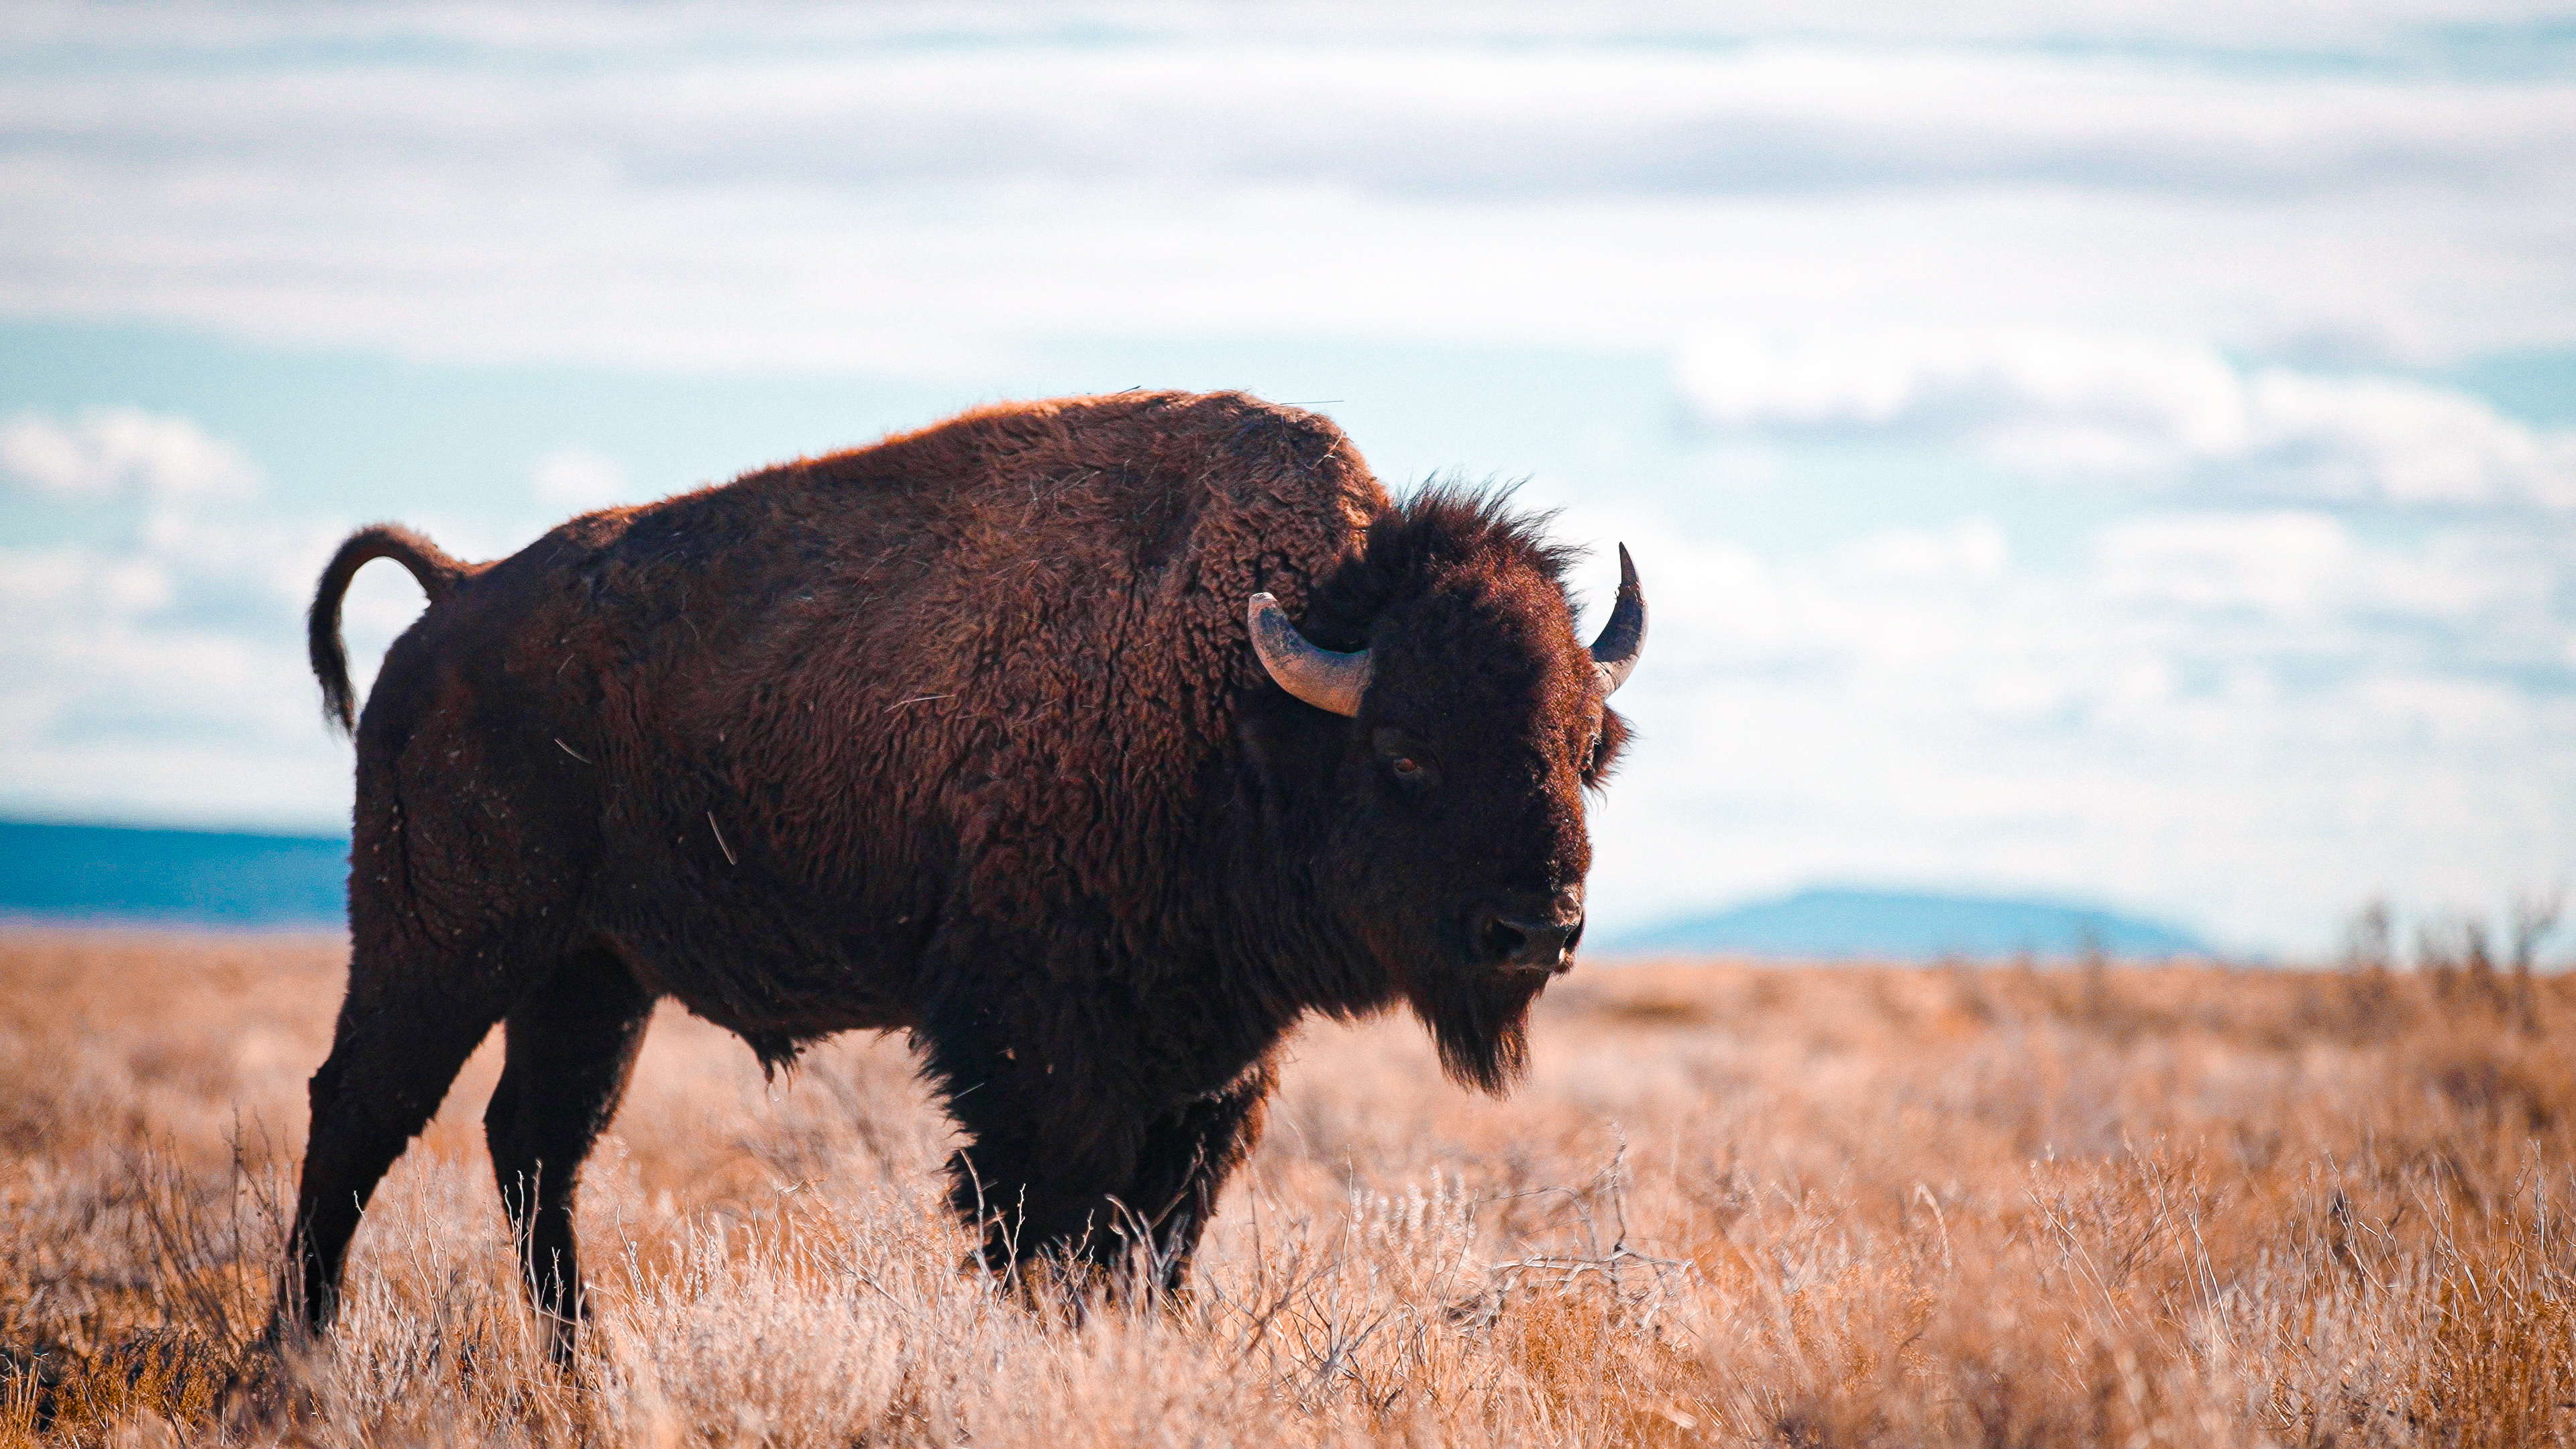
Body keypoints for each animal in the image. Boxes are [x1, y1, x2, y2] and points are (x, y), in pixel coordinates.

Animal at [281, 390, 1644, 1357]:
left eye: (1588, 750)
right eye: (1408, 752)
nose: (1539, 929)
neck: (1238, 701)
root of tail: (454, 597)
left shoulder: (1211, 1074)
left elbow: (1157, 1239)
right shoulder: (1041, 1053)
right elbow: (1054, 1226)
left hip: (591, 976)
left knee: (536, 1146)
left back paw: (585, 1364)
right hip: (443, 946)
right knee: (360, 1113)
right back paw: (302, 1355)